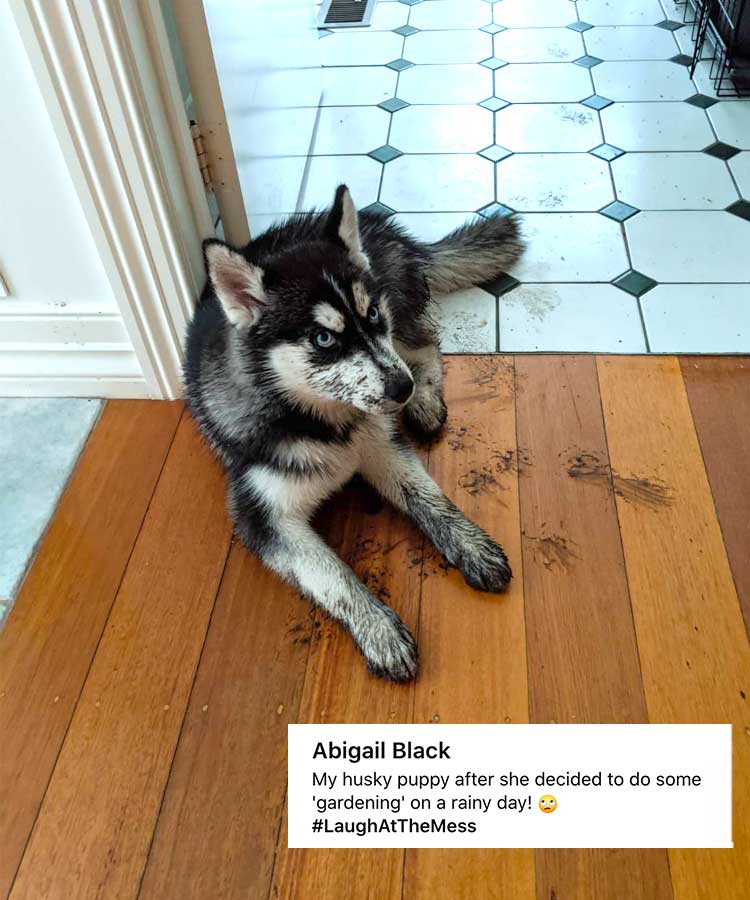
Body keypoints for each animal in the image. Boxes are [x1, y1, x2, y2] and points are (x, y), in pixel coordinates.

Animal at [184, 185, 523, 681]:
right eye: (324, 339)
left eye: (372, 314)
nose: (401, 389)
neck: (327, 424)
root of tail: (381, 226)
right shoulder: (263, 513)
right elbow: (333, 575)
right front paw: (380, 631)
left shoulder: (381, 443)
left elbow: (429, 498)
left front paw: (471, 545)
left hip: (400, 309)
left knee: (424, 344)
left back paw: (424, 400)